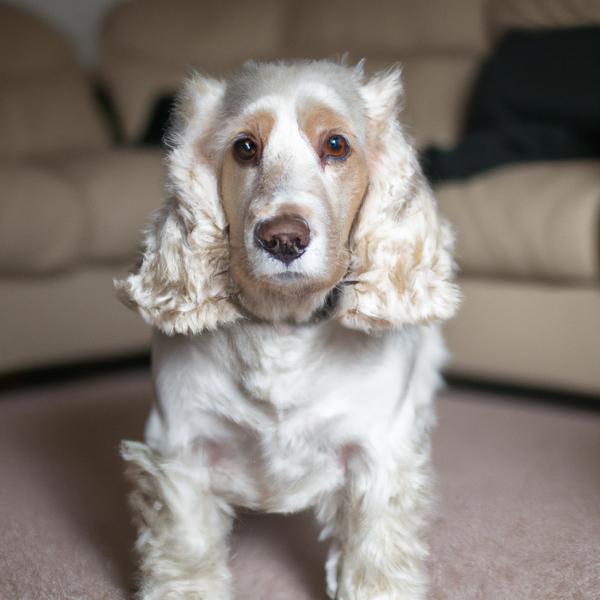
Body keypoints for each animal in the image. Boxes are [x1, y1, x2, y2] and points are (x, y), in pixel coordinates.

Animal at [117, 57, 460, 600]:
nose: (283, 238)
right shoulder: (180, 446)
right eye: (245, 147)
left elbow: (376, 547)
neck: (282, 328)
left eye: (336, 145)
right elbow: (187, 546)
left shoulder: (380, 452)